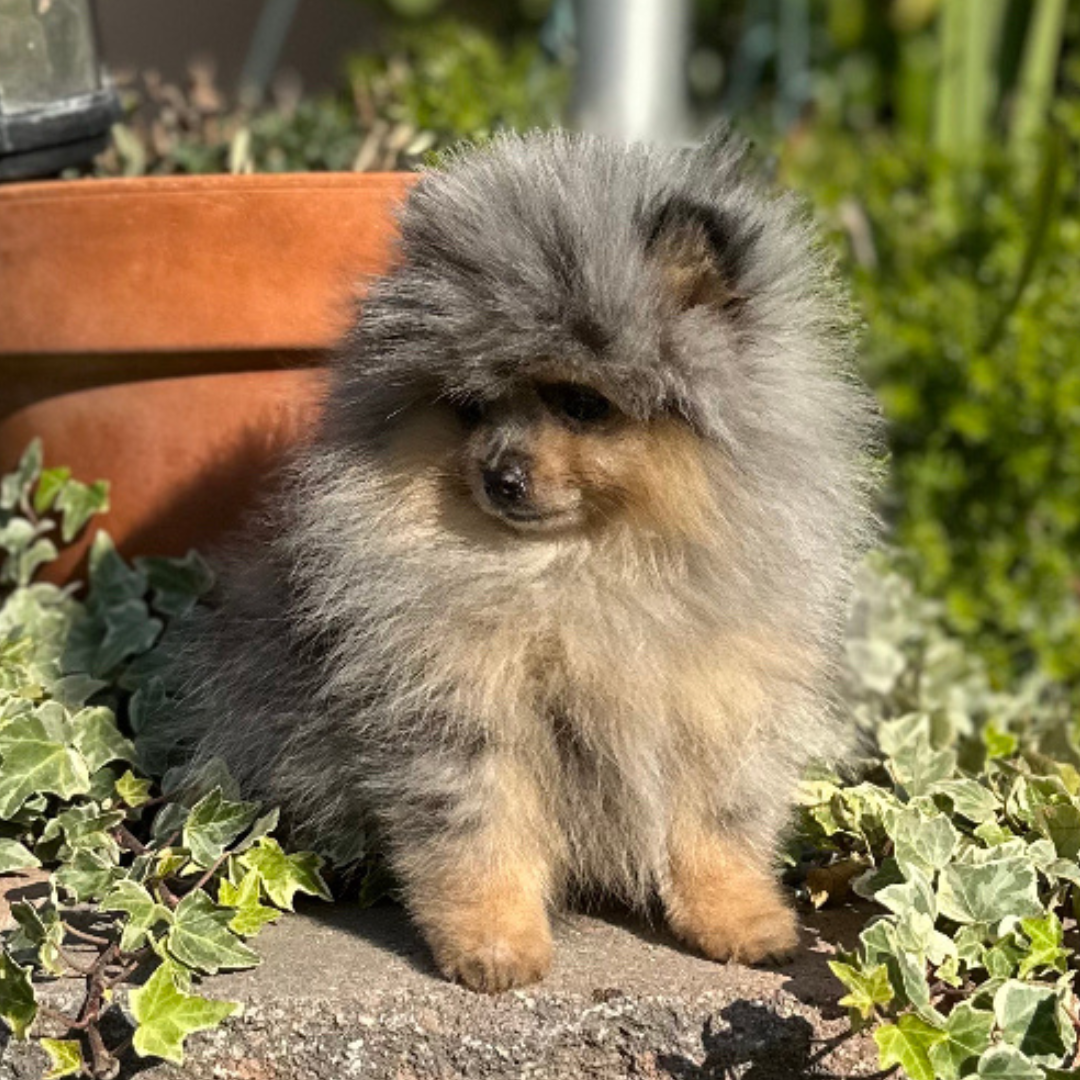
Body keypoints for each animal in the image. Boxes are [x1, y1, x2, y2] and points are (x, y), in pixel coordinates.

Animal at [174, 126, 876, 989]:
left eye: (580, 403)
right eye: (471, 408)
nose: (499, 474)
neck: (582, 570)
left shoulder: (717, 707)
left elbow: (714, 829)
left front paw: (741, 919)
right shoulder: (459, 710)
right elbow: (481, 837)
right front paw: (494, 943)